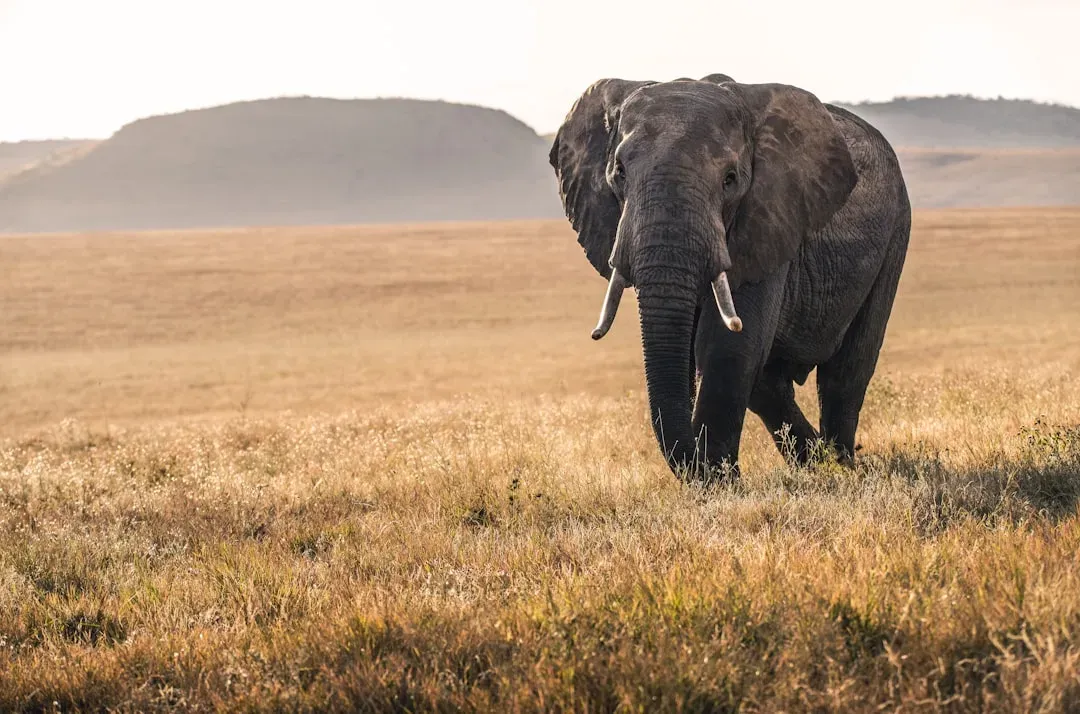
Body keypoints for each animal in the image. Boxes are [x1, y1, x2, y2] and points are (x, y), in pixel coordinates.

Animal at [548, 74, 911, 480]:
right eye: (619, 172)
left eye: (730, 179)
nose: (700, 465)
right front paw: (717, 478)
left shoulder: (768, 217)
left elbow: (727, 347)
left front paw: (720, 483)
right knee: (770, 384)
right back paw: (815, 464)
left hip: (896, 230)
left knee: (846, 372)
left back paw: (840, 467)